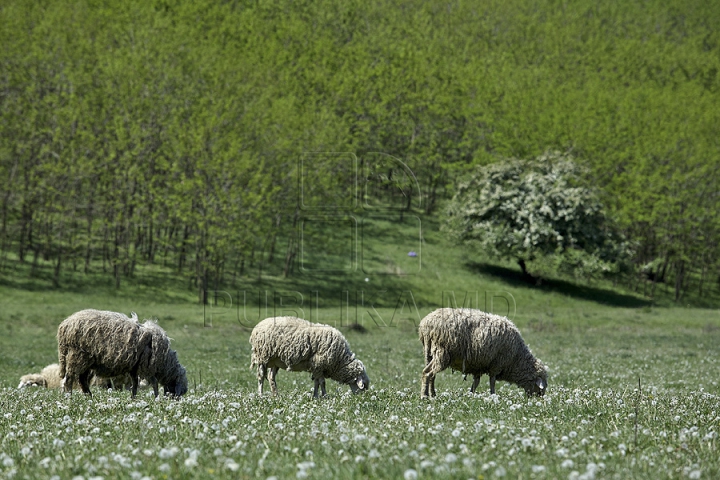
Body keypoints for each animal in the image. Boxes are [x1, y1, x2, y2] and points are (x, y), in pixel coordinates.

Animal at [57, 308, 188, 398]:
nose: (176, 400)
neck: (166, 363)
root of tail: (64, 325)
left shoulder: (135, 367)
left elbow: (135, 384)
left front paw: (133, 398)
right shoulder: (148, 367)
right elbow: (154, 384)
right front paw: (156, 398)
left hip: (86, 361)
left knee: (82, 380)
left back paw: (89, 397)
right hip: (77, 356)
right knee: (69, 380)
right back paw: (70, 397)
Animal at [416, 308, 544, 398]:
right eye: (539, 389)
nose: (538, 399)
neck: (516, 358)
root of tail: (425, 324)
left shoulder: (478, 365)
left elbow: (476, 382)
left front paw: (471, 394)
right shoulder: (496, 364)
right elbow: (492, 381)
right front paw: (493, 395)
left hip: (430, 353)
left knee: (431, 374)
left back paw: (432, 394)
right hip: (442, 352)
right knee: (427, 373)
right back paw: (425, 396)